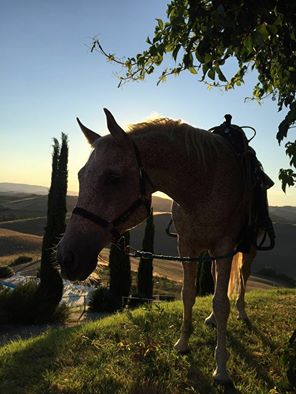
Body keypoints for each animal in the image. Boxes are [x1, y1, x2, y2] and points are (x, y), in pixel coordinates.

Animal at [57, 107, 262, 384]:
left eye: (113, 177)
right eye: (79, 175)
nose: (66, 257)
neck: (205, 184)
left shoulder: (225, 247)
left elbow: (222, 304)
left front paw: (221, 368)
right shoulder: (187, 248)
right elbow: (188, 295)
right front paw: (183, 344)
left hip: (247, 250)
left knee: (242, 277)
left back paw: (242, 312)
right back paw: (210, 319)